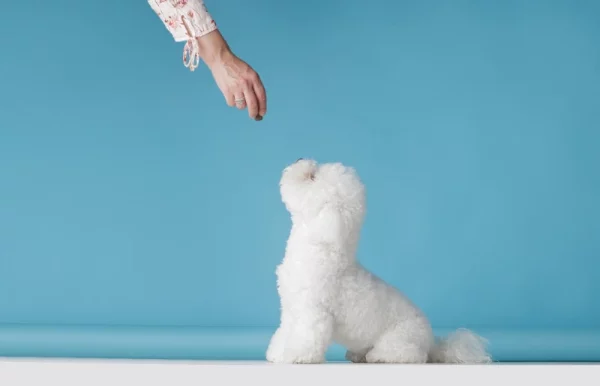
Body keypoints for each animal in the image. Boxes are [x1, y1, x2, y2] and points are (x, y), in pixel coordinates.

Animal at [268, 158, 492, 364]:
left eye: (312, 177)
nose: (300, 159)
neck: (322, 246)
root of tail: (432, 344)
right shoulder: (290, 310)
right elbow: (284, 333)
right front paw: (277, 352)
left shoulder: (313, 313)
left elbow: (305, 340)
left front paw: (295, 356)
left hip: (399, 339)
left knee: (411, 355)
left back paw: (378, 356)